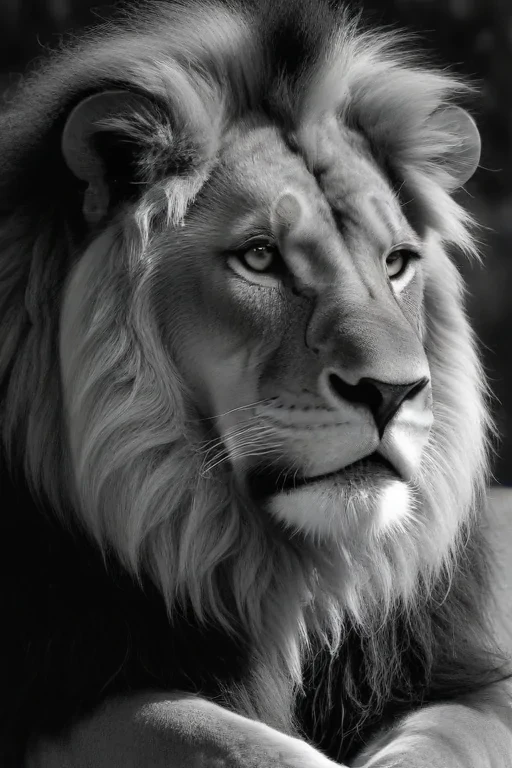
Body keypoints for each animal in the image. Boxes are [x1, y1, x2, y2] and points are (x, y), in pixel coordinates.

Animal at [0, 0, 511, 765]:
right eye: (261, 258)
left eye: (396, 263)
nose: (393, 393)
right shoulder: (57, 694)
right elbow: (224, 737)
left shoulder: (464, 681)